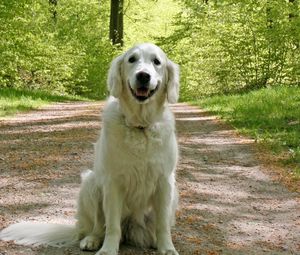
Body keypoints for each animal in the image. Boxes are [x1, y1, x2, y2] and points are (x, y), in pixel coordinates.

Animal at [0, 42, 179, 254]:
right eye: (132, 59)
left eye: (157, 62)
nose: (143, 76)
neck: (139, 126)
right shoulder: (113, 182)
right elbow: (112, 225)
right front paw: (108, 249)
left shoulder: (164, 182)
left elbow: (163, 224)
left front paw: (167, 248)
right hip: (91, 183)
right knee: (97, 226)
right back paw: (92, 240)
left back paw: (152, 240)